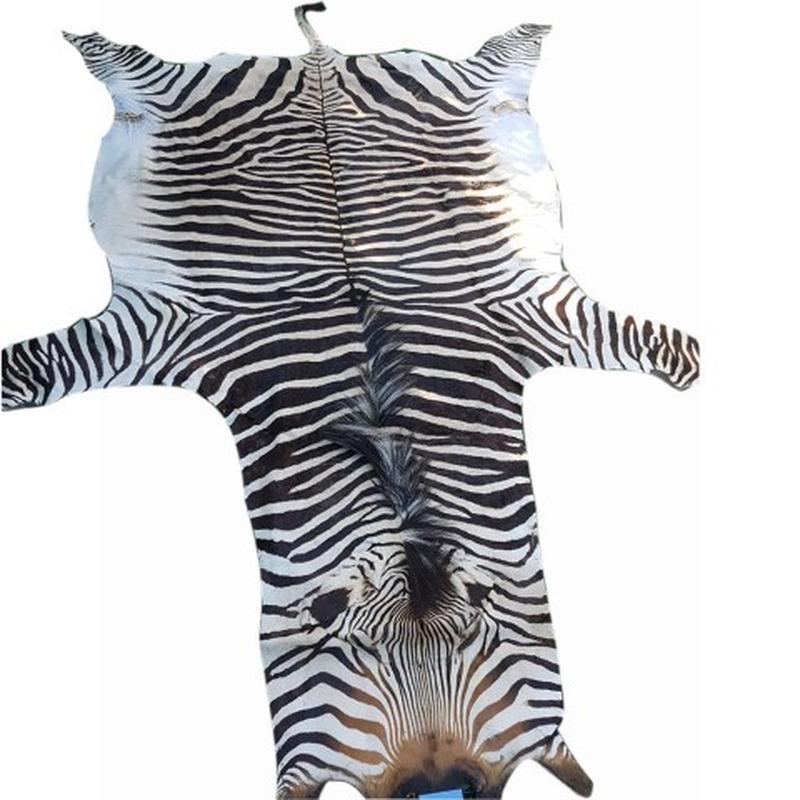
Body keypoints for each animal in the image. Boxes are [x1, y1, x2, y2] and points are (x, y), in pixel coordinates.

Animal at [0, 4, 699, 798]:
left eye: (485, 785)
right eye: (338, 634)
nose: (437, 783)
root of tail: (320, 63)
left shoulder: (532, 311)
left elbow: (663, 347)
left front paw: (692, 366)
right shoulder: (170, 328)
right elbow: (44, 364)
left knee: (502, 55)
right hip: (189, 95)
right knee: (125, 62)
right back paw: (93, 41)